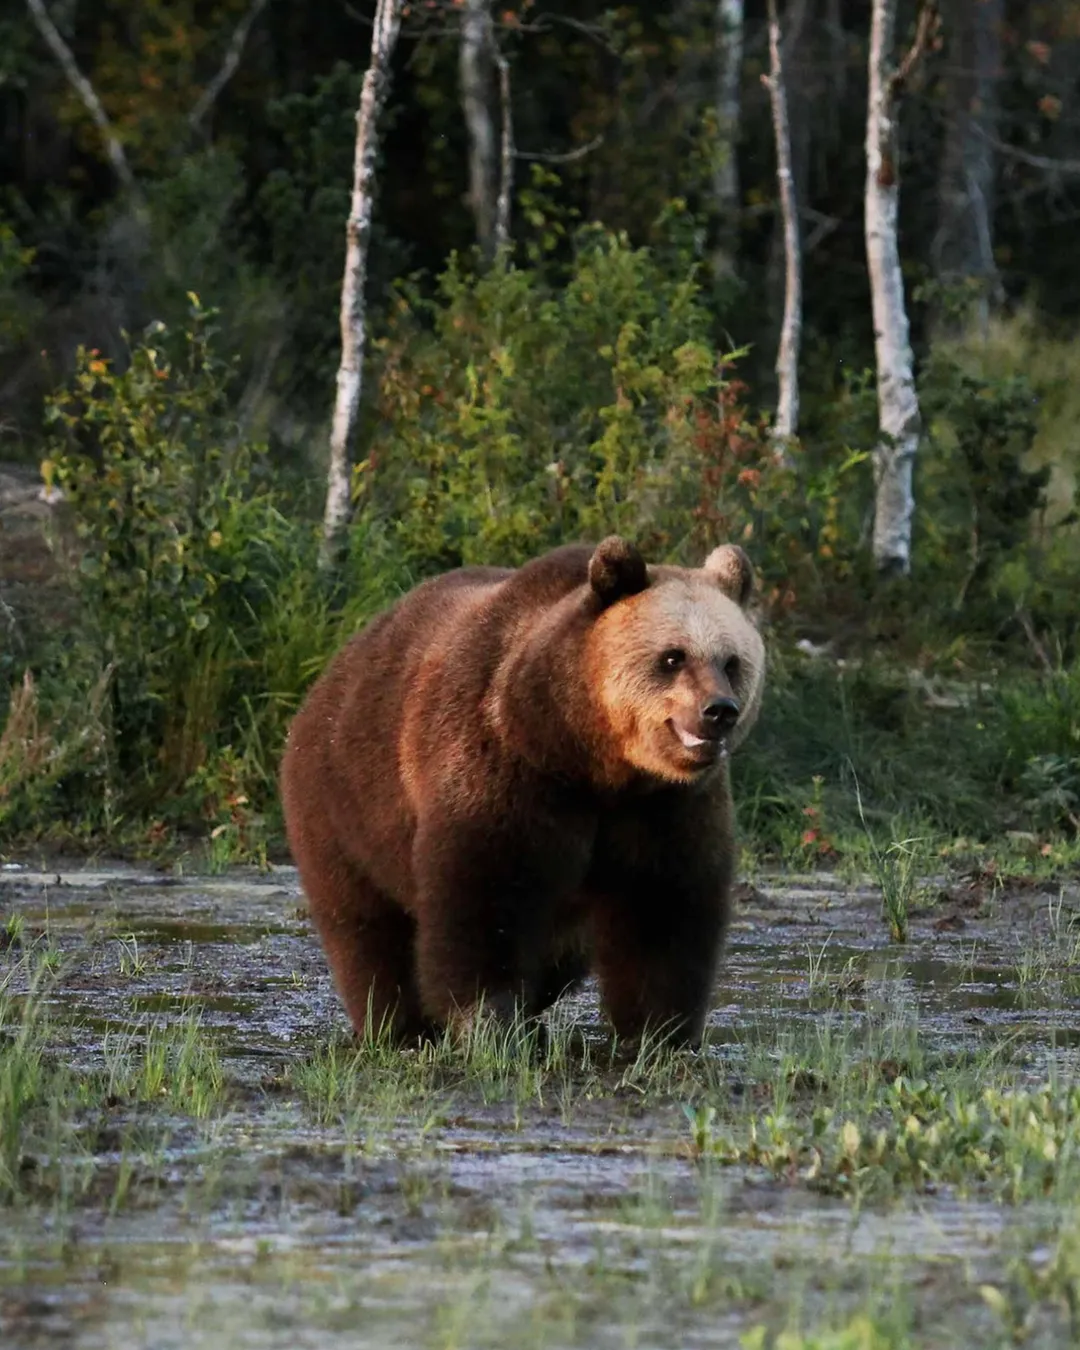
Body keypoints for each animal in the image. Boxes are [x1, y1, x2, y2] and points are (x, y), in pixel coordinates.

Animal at [278, 534, 766, 1042]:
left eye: (732, 662)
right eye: (673, 657)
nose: (719, 710)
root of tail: (329, 677)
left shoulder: (667, 807)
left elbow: (663, 907)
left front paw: (660, 1030)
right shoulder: (509, 767)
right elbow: (485, 893)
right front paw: (488, 1018)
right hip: (345, 800)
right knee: (366, 924)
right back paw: (398, 1021)